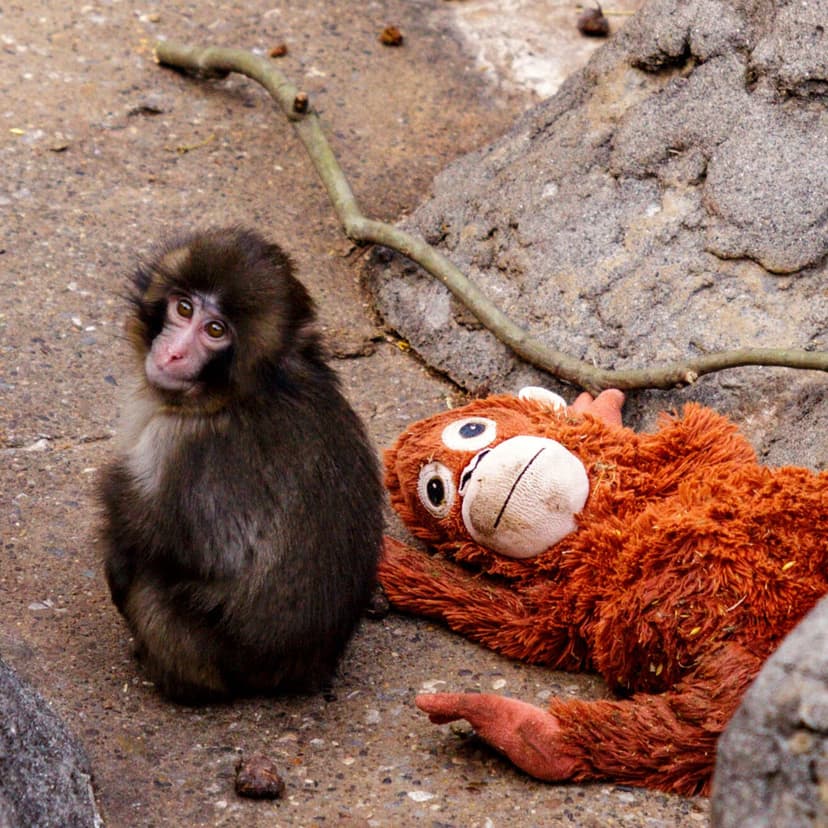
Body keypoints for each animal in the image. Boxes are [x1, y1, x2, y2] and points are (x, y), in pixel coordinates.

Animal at [100, 226, 385, 703]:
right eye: (183, 308)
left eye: (215, 330)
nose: (173, 354)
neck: (241, 393)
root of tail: (308, 669)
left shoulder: (181, 445)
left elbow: (195, 550)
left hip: (210, 658)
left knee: (150, 584)